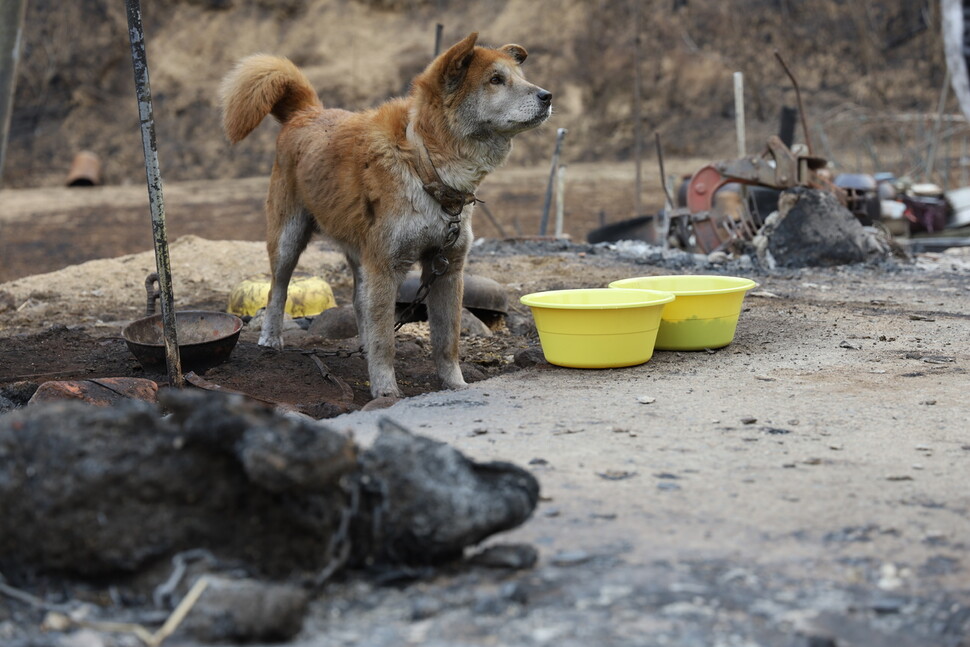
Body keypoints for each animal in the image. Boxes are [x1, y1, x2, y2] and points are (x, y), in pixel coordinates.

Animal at [221, 35, 552, 402]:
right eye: (495, 80)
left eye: (520, 77)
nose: (547, 96)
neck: (424, 164)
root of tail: (307, 112)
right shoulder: (386, 265)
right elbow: (386, 342)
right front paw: (385, 391)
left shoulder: (448, 269)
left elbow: (447, 341)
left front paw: (455, 384)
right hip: (289, 239)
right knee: (277, 289)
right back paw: (271, 338)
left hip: (359, 253)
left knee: (359, 302)